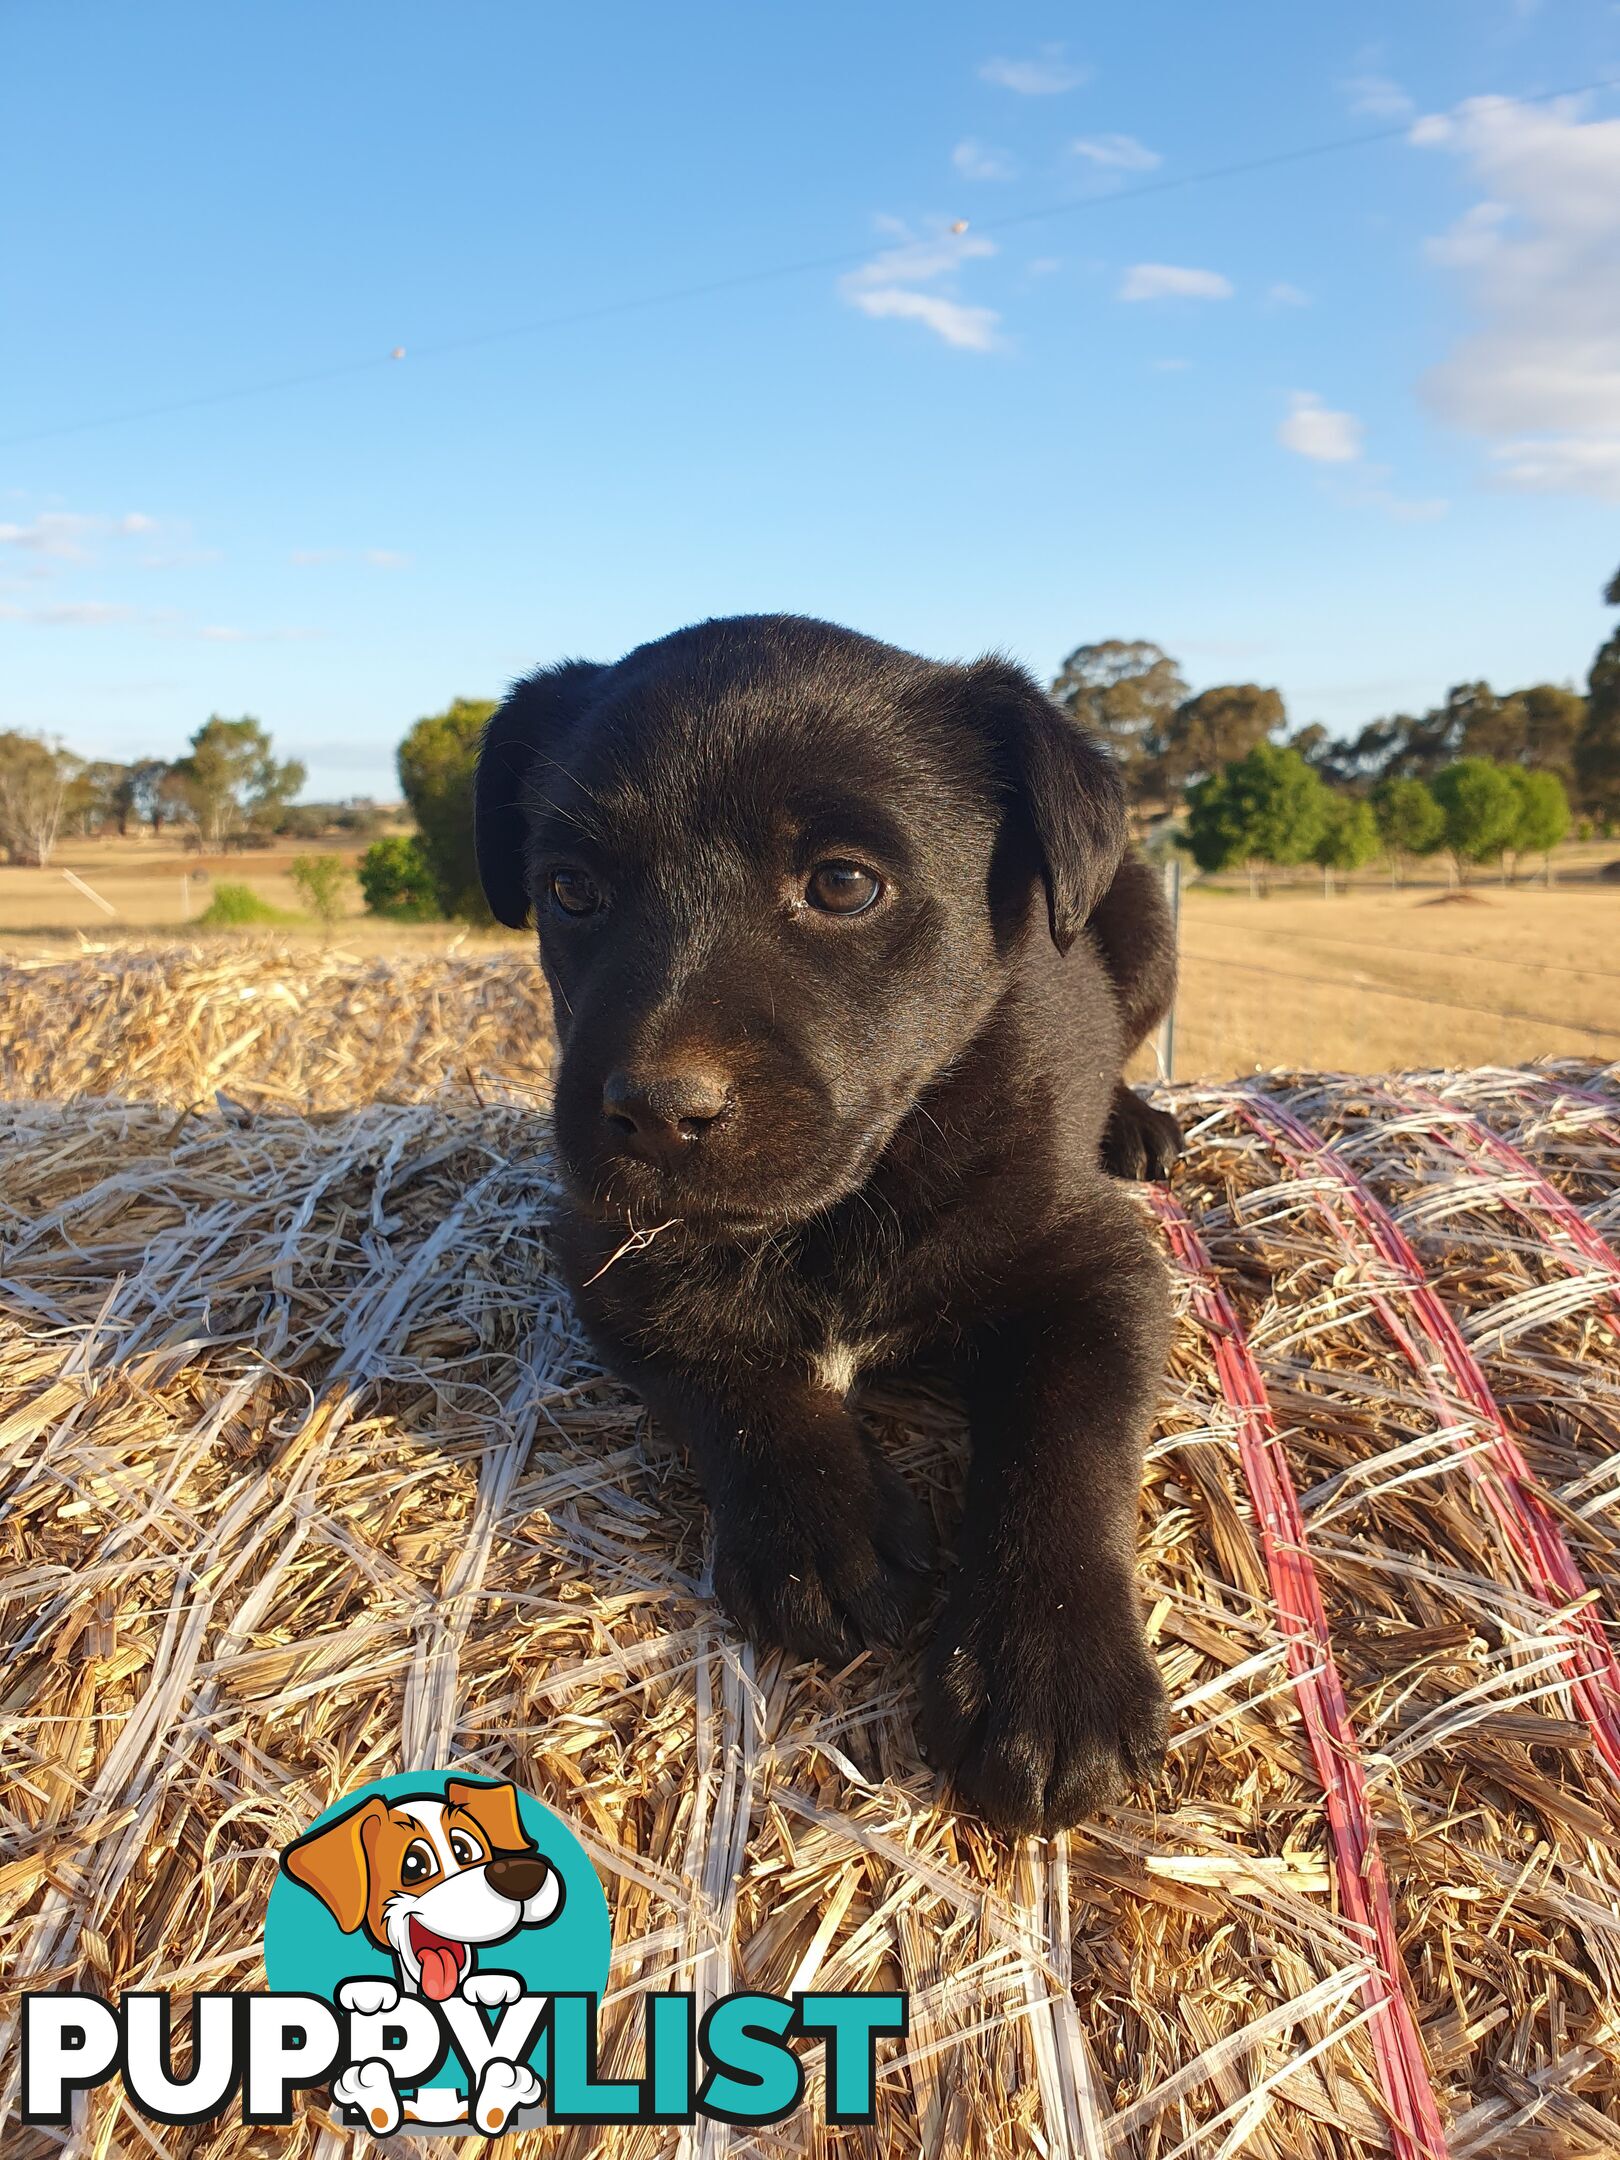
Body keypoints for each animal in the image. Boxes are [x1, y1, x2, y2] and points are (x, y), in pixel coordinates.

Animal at [475, 617, 1183, 1831]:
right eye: (571, 889)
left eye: (843, 883)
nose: (655, 1114)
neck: (841, 1208)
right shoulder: (608, 1254)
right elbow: (727, 1374)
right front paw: (821, 1531)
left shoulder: (1096, 1265)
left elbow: (1067, 1441)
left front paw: (1045, 1672)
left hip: (1141, 919)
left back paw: (1133, 1120)